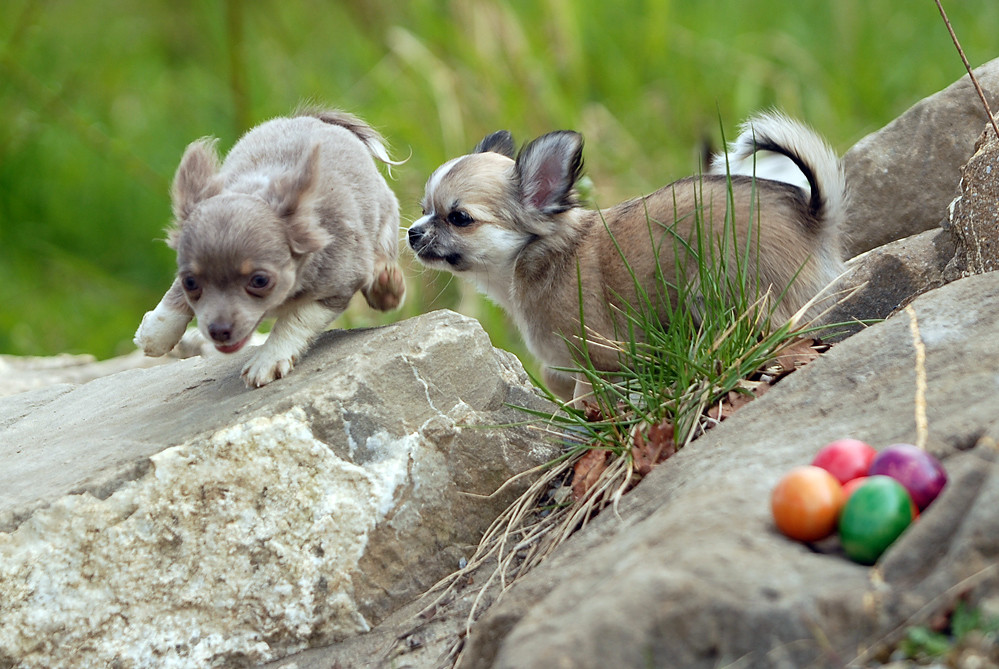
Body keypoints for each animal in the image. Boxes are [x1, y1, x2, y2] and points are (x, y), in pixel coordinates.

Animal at [135, 107, 404, 388]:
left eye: (260, 281)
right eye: (190, 282)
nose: (218, 331)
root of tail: (313, 118)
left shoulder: (335, 288)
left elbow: (293, 320)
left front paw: (267, 360)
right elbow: (173, 297)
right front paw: (156, 331)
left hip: (386, 223)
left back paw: (385, 286)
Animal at [410, 111, 848, 400]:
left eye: (459, 218)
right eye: (422, 209)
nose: (412, 233)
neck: (534, 255)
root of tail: (813, 214)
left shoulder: (597, 359)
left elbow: (586, 400)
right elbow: (556, 380)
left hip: (723, 293)